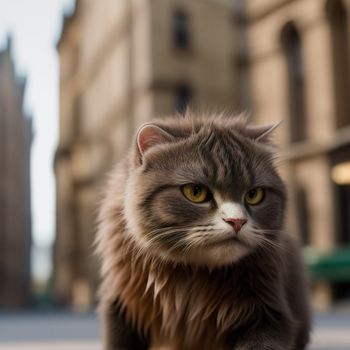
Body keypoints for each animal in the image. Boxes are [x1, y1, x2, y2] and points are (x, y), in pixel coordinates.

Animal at [95, 113, 308, 350]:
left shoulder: (267, 312)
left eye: (254, 194)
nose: (237, 221)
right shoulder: (122, 307)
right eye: (195, 192)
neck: (190, 276)